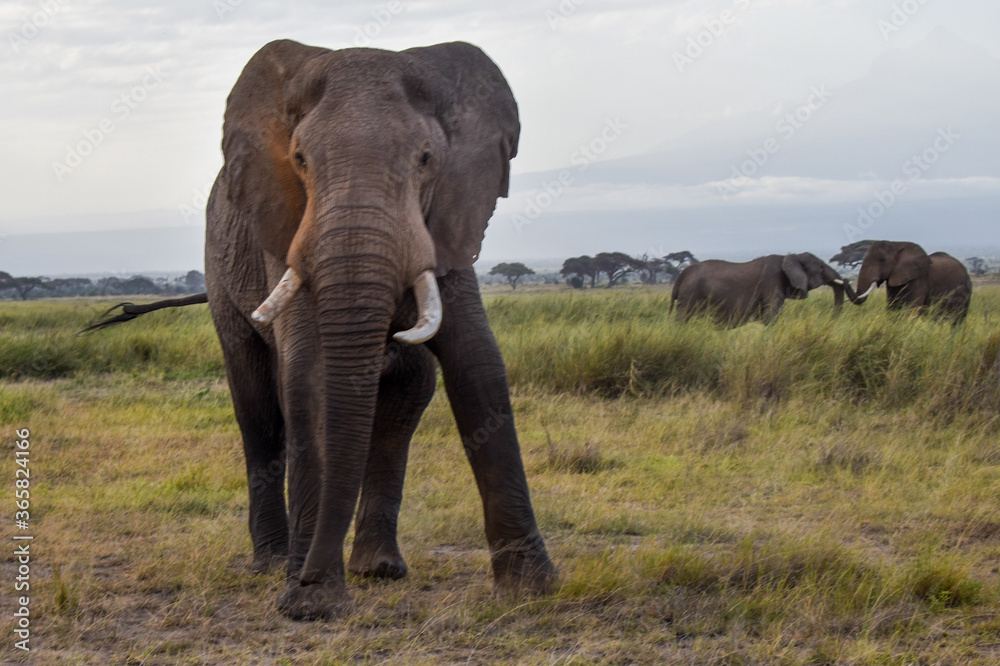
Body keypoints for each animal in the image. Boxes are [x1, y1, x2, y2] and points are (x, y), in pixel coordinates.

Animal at [91, 40, 556, 620]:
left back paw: (376, 569)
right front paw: (310, 599)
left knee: (405, 393)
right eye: (300, 161)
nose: (308, 582)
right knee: (259, 409)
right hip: (221, 271)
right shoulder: (284, 225)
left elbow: (478, 363)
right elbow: (309, 377)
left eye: (426, 160)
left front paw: (531, 590)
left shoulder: (449, 219)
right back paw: (273, 562)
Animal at [670, 252, 859, 326]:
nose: (845, 280)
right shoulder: (772, 283)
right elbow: (770, 316)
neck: (789, 256)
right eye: (820, 267)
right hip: (690, 295)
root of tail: (680, 277)